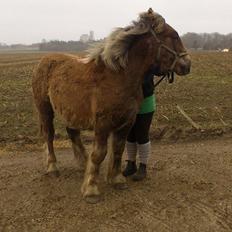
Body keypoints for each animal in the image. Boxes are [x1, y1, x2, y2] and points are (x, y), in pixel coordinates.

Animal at [33, 8, 192, 202]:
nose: (187, 64)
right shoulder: (102, 123)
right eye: (174, 36)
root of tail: (43, 60)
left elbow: (118, 149)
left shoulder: (126, 122)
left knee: (72, 132)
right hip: (45, 109)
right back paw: (52, 167)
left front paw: (116, 179)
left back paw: (82, 163)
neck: (118, 76)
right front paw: (91, 189)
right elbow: (99, 153)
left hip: (72, 111)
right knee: (48, 135)